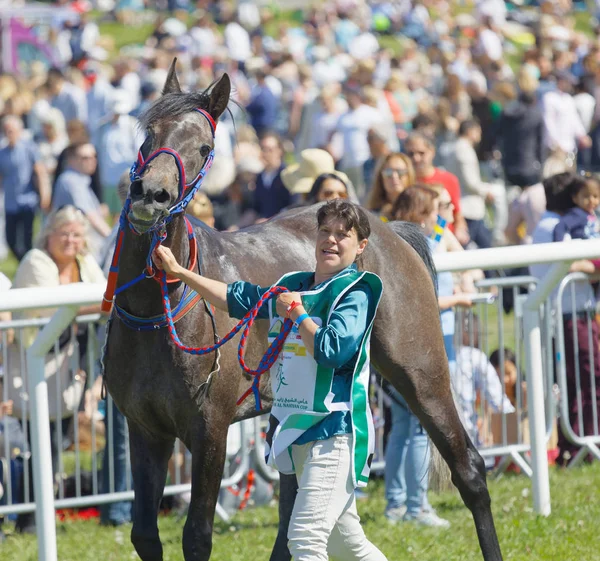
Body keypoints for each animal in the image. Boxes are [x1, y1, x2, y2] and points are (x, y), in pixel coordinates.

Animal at [102, 62, 502, 560]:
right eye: (149, 133)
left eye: (204, 147)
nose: (151, 195)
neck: (158, 310)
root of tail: (390, 232)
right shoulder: (145, 429)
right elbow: (144, 534)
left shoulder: (210, 429)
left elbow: (196, 535)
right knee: (293, 500)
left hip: (422, 375)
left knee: (470, 469)